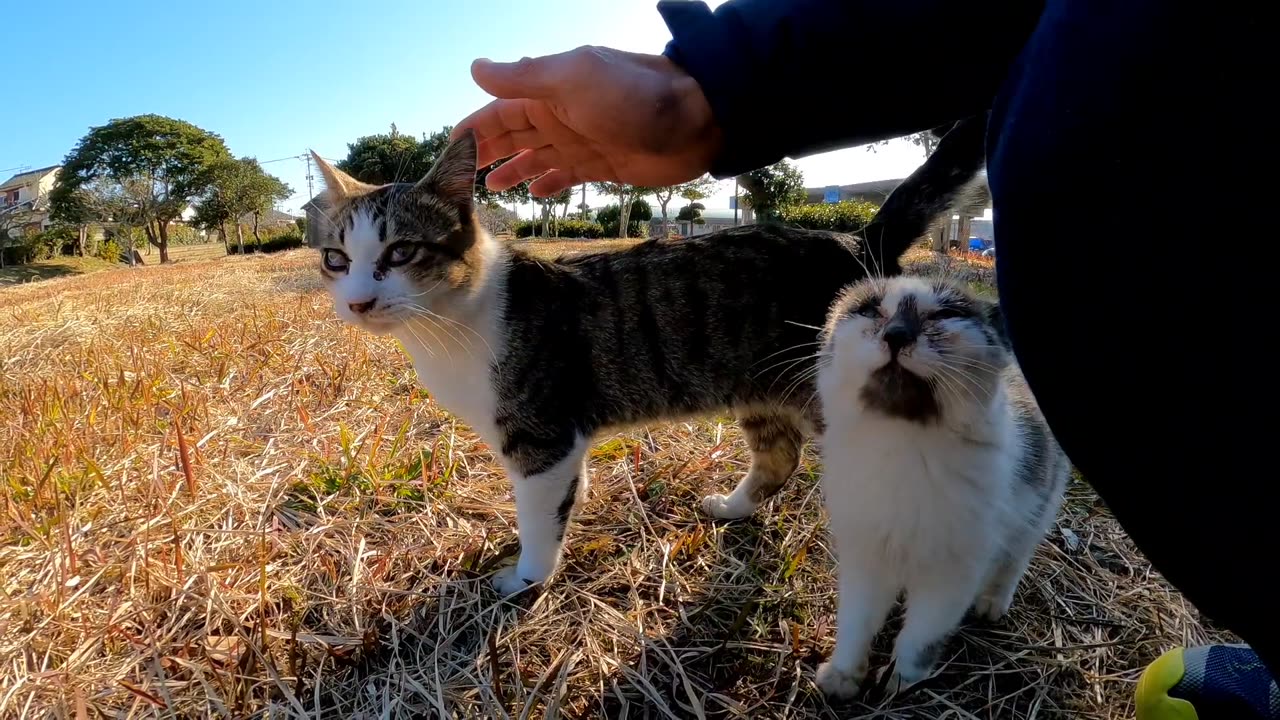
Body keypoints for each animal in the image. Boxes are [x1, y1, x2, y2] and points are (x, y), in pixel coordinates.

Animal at [808, 272, 1070, 696]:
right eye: (870, 310)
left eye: (945, 314)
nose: (896, 334)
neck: (904, 448)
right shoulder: (865, 560)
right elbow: (855, 623)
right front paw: (844, 675)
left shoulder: (951, 578)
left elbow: (919, 638)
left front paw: (900, 679)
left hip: (1037, 510)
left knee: (1014, 559)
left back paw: (993, 601)